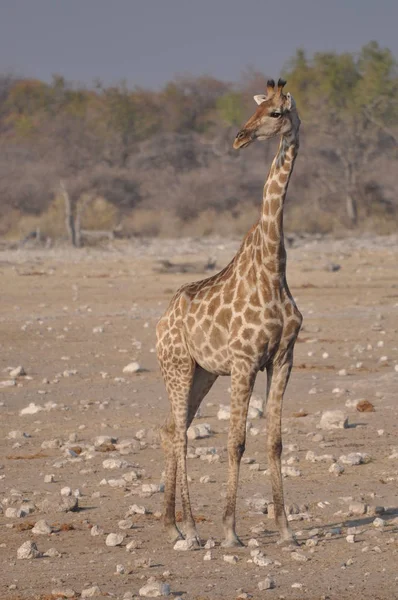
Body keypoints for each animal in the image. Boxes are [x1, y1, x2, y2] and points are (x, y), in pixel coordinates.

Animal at [155, 77, 302, 548]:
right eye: (255, 109)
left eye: (275, 113)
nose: (239, 137)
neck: (274, 268)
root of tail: (162, 320)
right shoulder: (244, 362)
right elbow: (236, 442)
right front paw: (230, 531)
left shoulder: (282, 358)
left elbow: (275, 442)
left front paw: (286, 530)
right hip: (178, 366)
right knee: (179, 435)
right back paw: (192, 528)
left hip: (203, 373)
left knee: (173, 430)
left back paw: (173, 523)